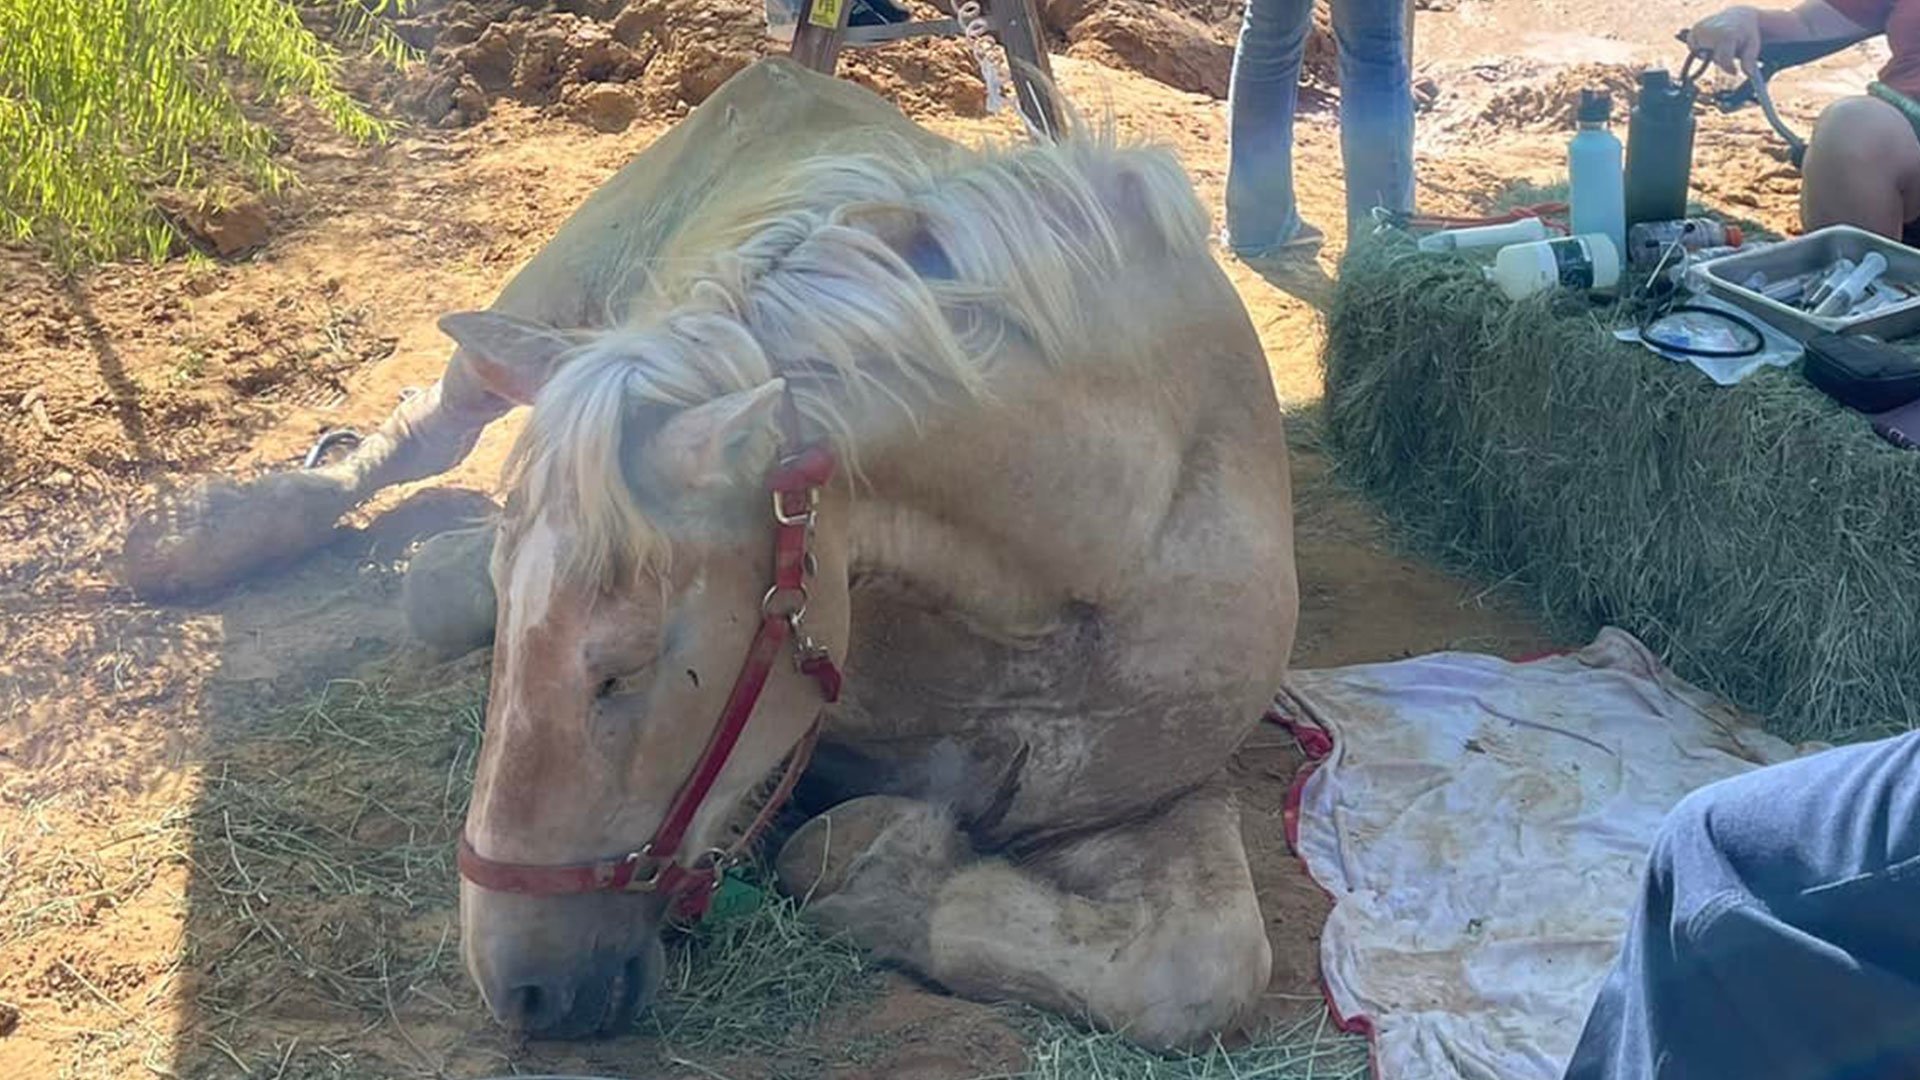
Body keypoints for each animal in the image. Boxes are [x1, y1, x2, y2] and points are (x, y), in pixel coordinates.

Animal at [124, 57, 1299, 1049]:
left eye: (625, 669)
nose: (520, 988)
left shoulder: (1152, 799)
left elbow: (1197, 974)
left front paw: (872, 859)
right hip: (538, 307)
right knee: (426, 431)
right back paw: (209, 534)